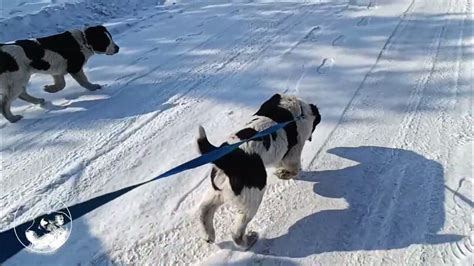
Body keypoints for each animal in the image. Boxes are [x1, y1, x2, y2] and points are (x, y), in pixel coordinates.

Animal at [196, 93, 322, 249]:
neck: (301, 111)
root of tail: (228, 158)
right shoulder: (292, 154)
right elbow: (294, 169)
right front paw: (283, 174)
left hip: (217, 190)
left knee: (203, 210)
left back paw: (208, 236)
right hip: (253, 197)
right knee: (236, 234)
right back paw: (249, 240)